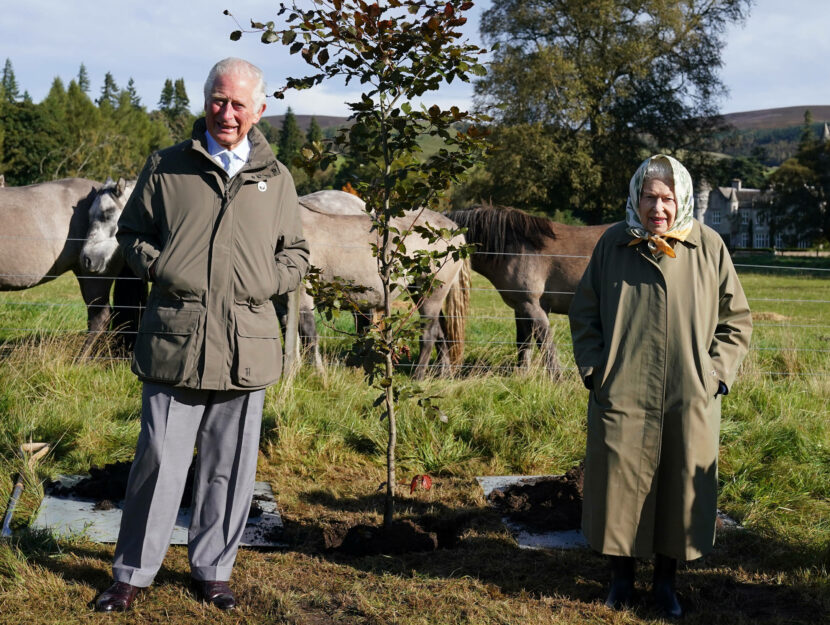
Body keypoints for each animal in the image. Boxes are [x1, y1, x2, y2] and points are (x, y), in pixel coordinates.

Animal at [448, 205, 612, 376]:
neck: (515, 249)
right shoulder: (521, 308)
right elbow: (524, 344)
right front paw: (522, 376)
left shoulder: (532, 306)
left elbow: (546, 345)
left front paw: (557, 378)